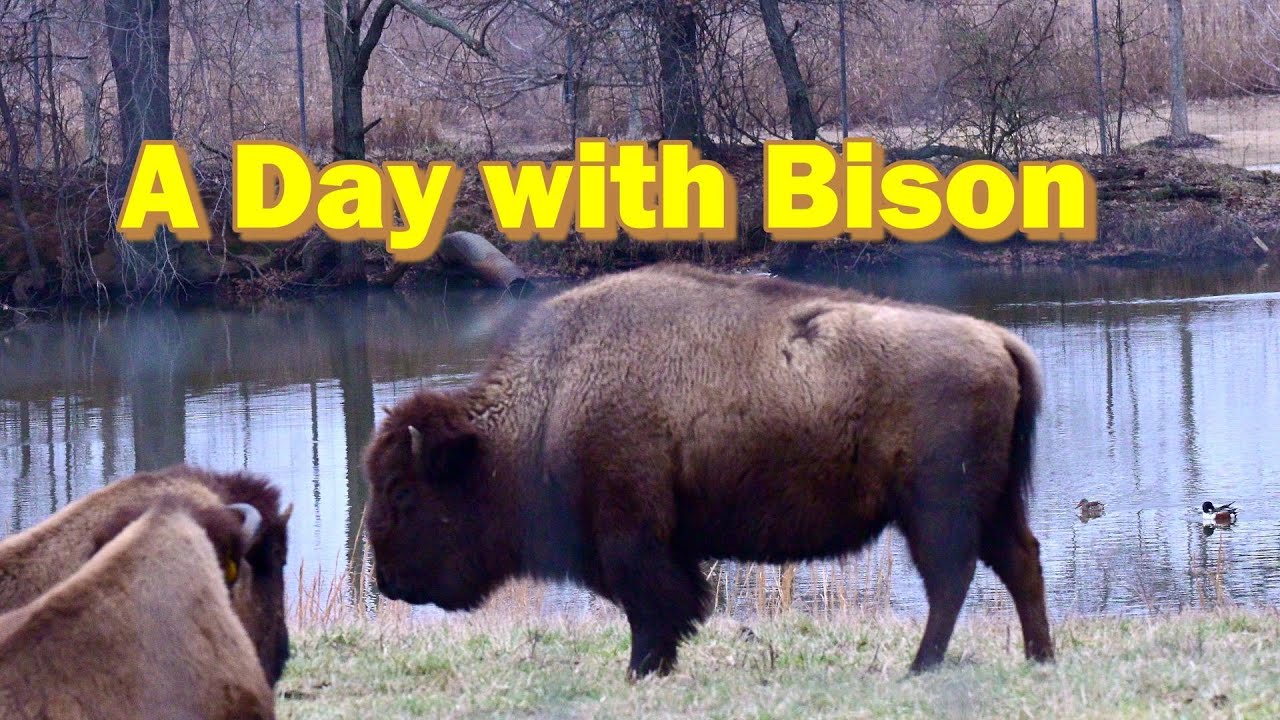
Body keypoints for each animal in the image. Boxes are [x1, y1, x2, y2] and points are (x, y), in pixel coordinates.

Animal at [364, 265, 1053, 676]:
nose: (387, 584)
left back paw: (922, 667)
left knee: (951, 578)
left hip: (936, 508)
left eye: (402, 490)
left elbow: (653, 607)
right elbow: (673, 603)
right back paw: (1037, 658)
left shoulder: (630, 534)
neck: (554, 398)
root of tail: (997, 340)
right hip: (989, 503)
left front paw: (641, 670)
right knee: (1018, 561)